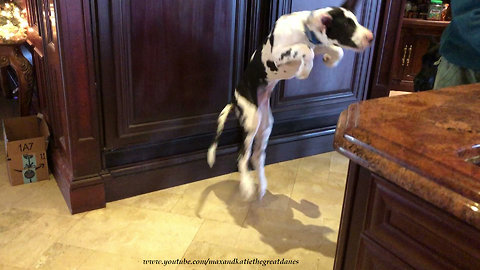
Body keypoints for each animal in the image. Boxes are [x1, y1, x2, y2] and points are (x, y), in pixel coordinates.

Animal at [206, 3, 376, 199]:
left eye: (355, 21)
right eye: (348, 25)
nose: (371, 37)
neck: (303, 30)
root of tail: (235, 98)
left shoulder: (319, 45)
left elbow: (335, 50)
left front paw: (329, 60)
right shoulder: (280, 54)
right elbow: (305, 50)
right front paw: (304, 71)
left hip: (265, 125)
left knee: (257, 157)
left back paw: (262, 186)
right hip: (251, 120)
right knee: (243, 156)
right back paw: (247, 186)